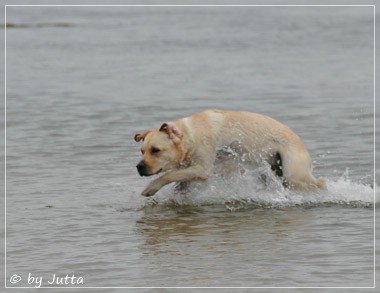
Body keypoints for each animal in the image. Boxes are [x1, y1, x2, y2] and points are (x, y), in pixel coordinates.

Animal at [134, 109, 326, 196]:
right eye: (142, 151)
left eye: (156, 150)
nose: (139, 167)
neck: (191, 135)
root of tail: (303, 145)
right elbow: (180, 181)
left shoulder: (202, 168)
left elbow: (168, 175)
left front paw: (150, 188)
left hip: (293, 173)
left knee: (318, 184)